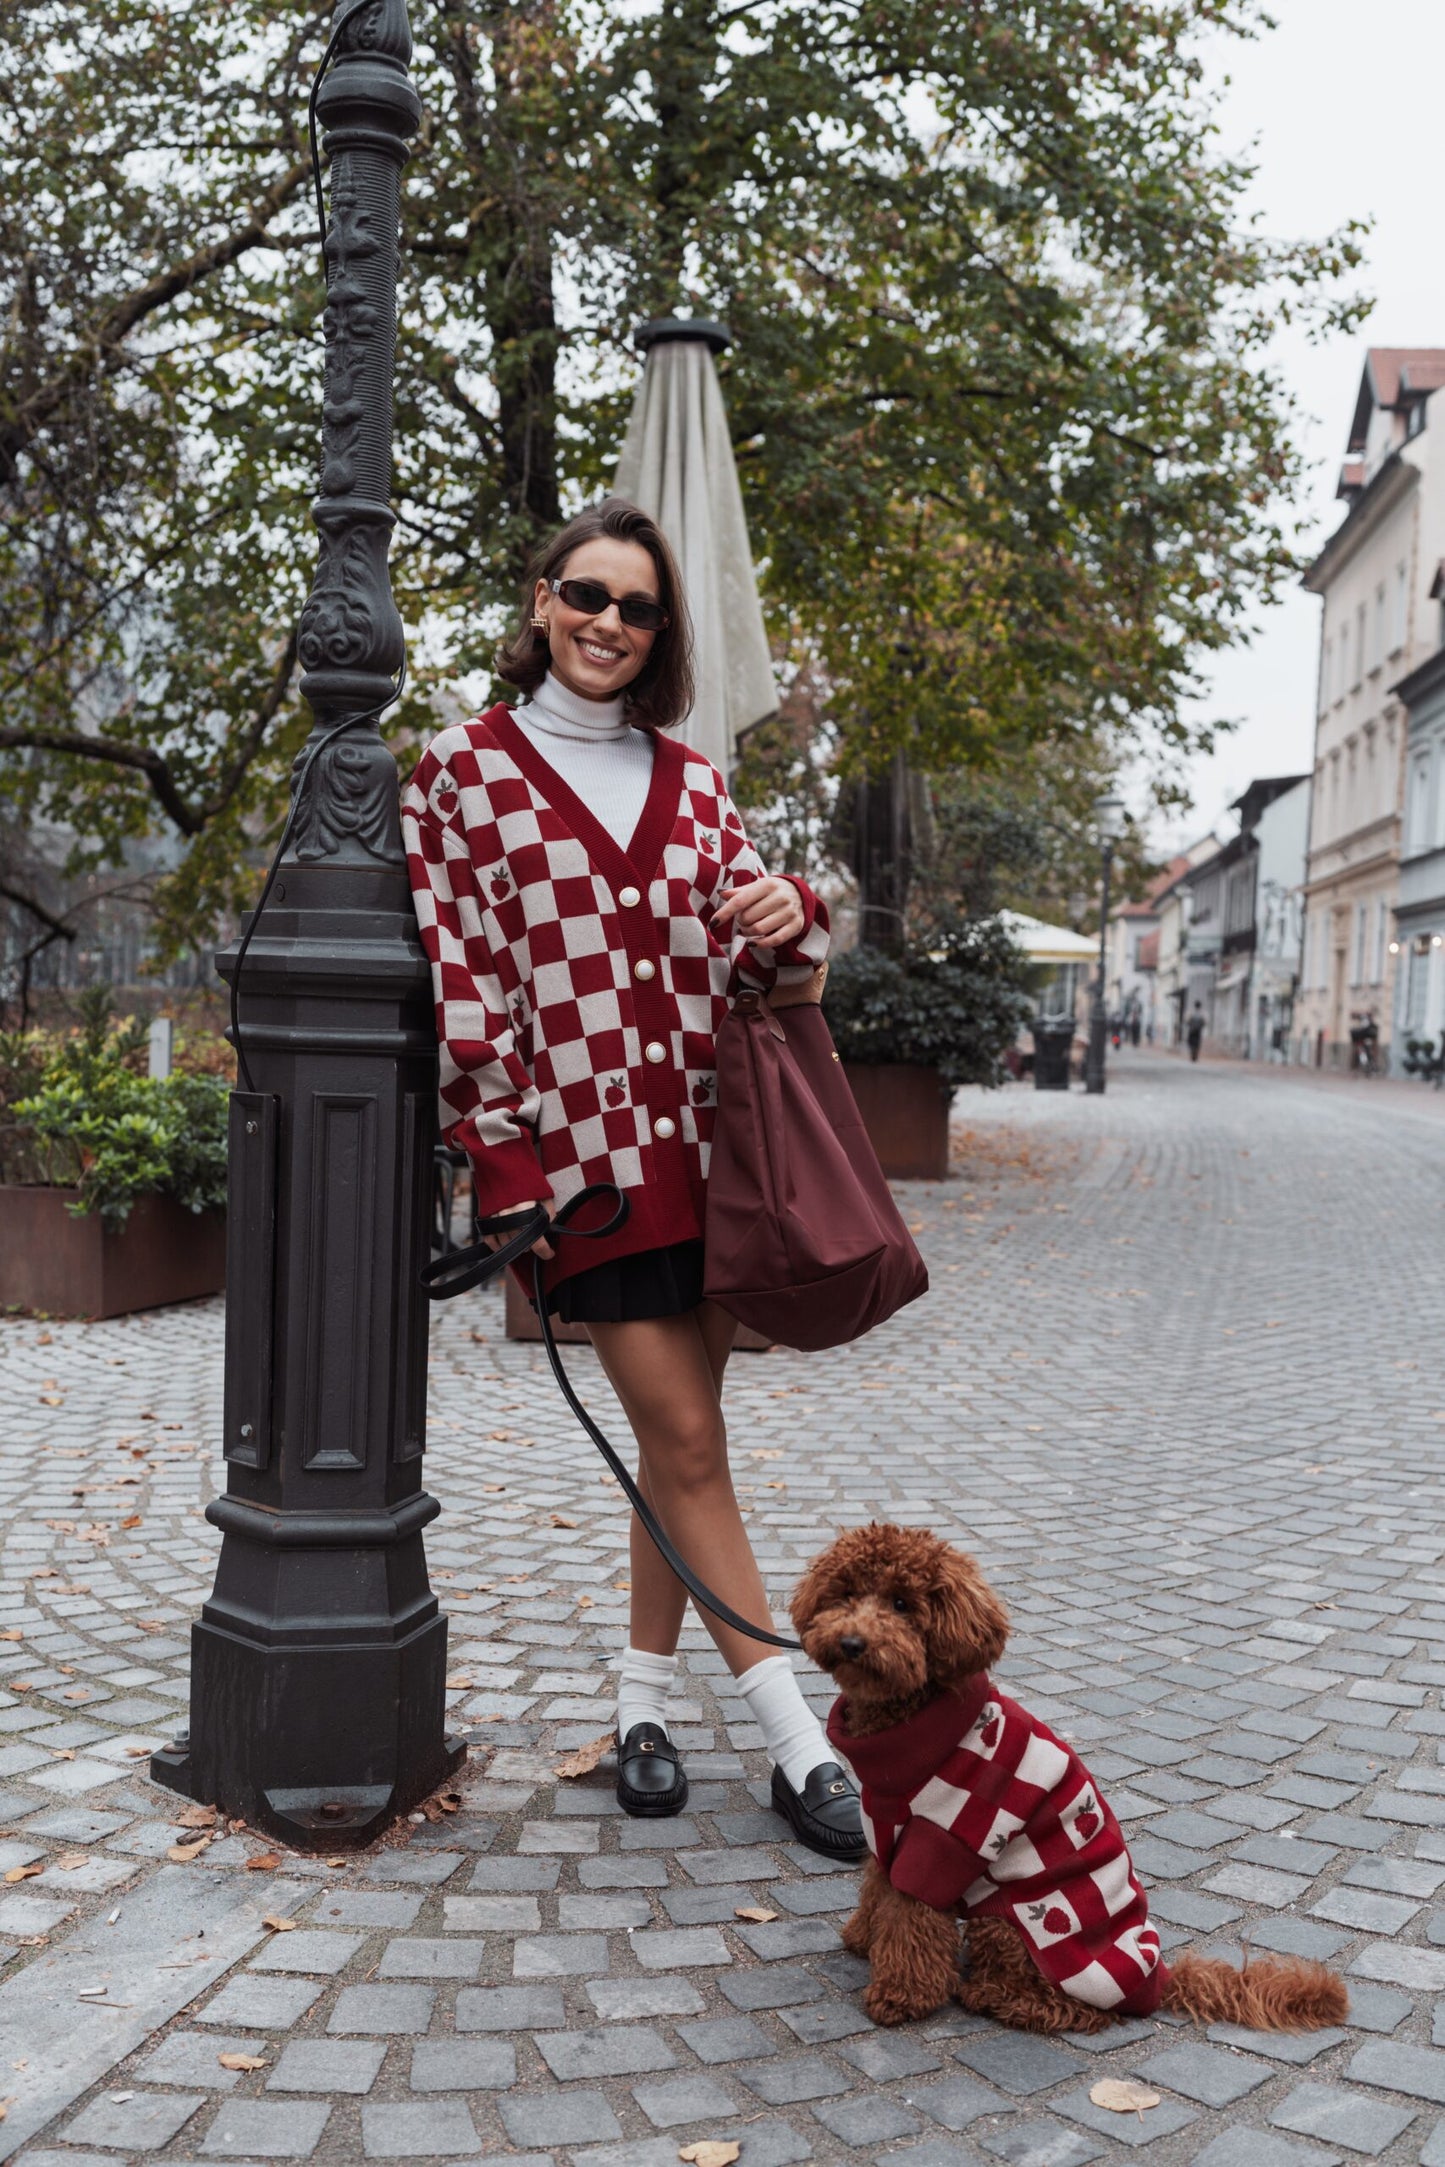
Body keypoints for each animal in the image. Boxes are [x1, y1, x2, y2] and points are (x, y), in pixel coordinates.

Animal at [792, 1525, 1343, 2028]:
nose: (852, 1642)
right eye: (845, 1593)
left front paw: (900, 1996)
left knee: (1076, 2010)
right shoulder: (888, 1834)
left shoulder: (940, 1846)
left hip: (1017, 1922)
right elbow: (877, 1890)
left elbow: (911, 1924)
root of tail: (1159, 1979)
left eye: (903, 1603)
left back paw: (992, 1996)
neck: (912, 1721)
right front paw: (863, 1937)